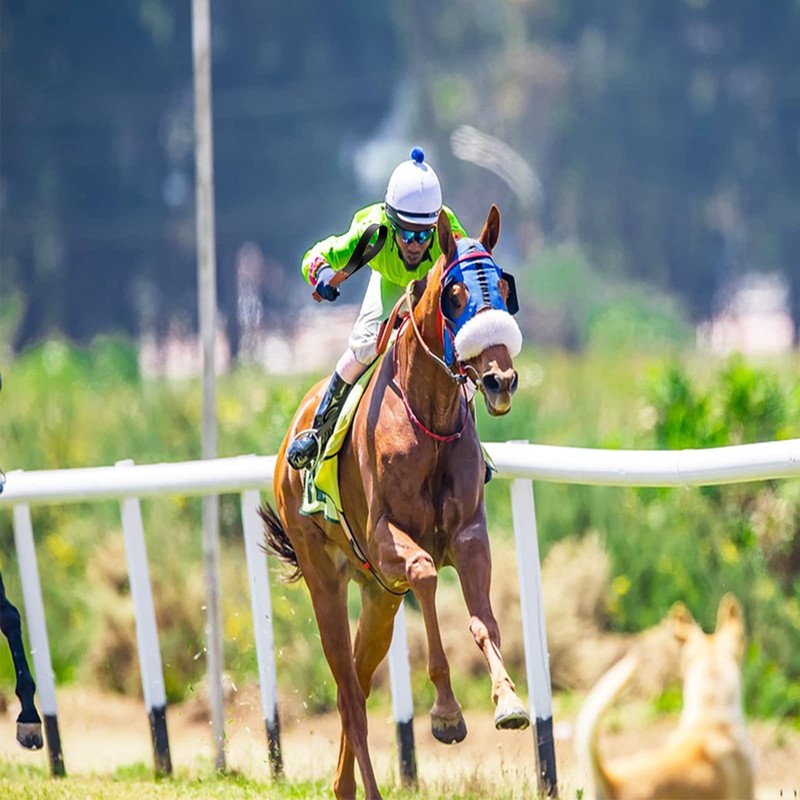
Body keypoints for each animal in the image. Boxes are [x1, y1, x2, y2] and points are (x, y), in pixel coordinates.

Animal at [260, 204, 528, 800]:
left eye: (502, 287)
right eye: (456, 295)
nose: (500, 380)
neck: (430, 419)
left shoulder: (469, 535)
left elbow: (484, 620)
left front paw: (508, 701)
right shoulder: (387, 538)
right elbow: (426, 574)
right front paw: (447, 714)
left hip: (378, 597)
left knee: (357, 684)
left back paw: (344, 786)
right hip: (326, 579)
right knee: (348, 694)